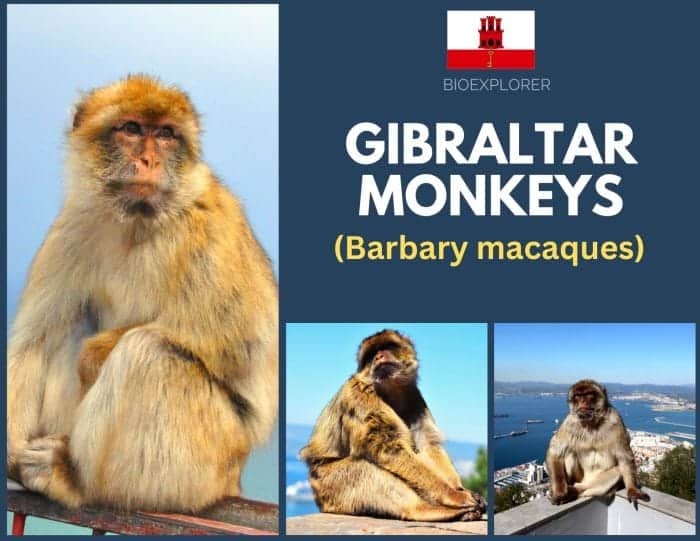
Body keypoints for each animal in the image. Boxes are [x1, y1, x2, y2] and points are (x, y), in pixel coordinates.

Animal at [7, 75, 278, 512]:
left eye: (166, 134)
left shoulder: (209, 222)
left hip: (207, 460)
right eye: (132, 129)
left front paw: (93, 356)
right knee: (71, 331)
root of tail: (233, 478)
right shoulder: (73, 225)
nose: (150, 161)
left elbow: (241, 341)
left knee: (150, 352)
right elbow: (34, 343)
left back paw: (76, 480)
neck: (136, 217)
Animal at [300, 329, 486, 522]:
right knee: (362, 468)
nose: (378, 356)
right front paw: (454, 495)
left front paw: (459, 489)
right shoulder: (360, 395)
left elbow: (428, 445)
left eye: (387, 347)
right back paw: (423, 509)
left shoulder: (414, 397)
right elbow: (389, 449)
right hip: (327, 485)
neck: (390, 390)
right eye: (370, 355)